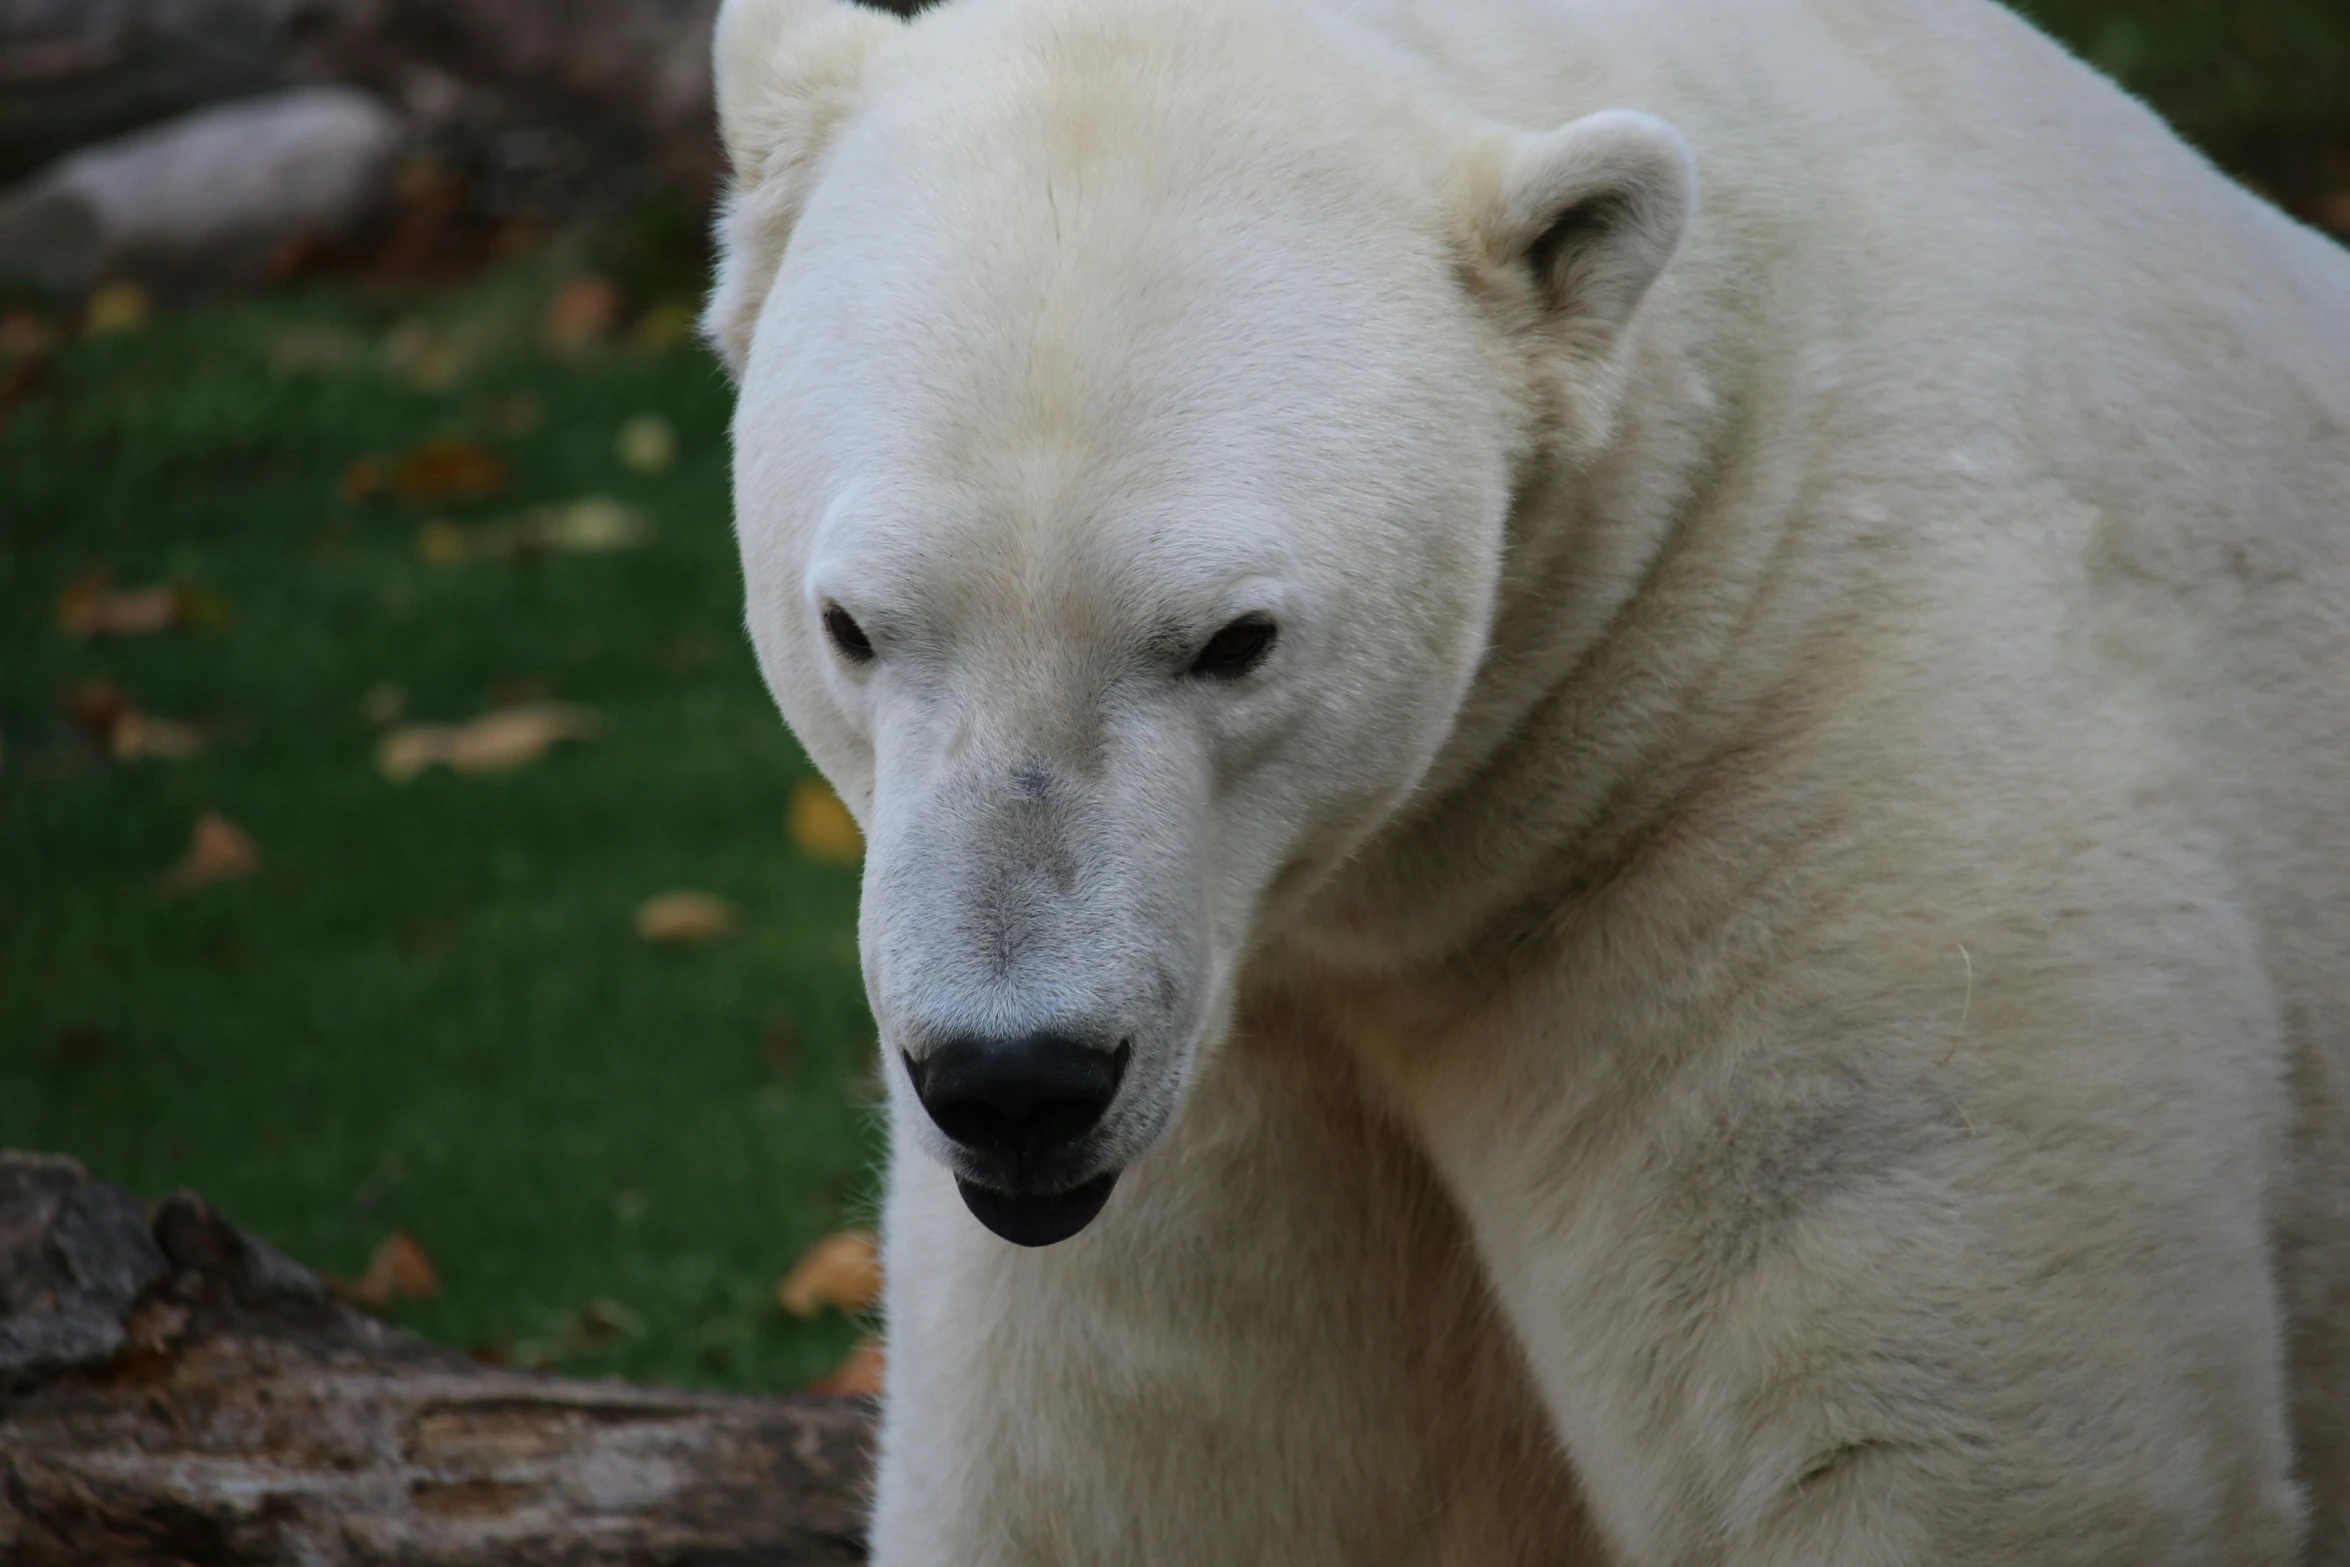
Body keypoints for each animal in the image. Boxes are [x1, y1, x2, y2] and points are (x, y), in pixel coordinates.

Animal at [700, 0, 2350, 1559]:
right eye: (853, 623)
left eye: (1233, 639)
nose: (1016, 1077)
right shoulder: (1241, 1049)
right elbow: (1137, 1466)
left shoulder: (1848, 833)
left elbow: (1922, 1427)